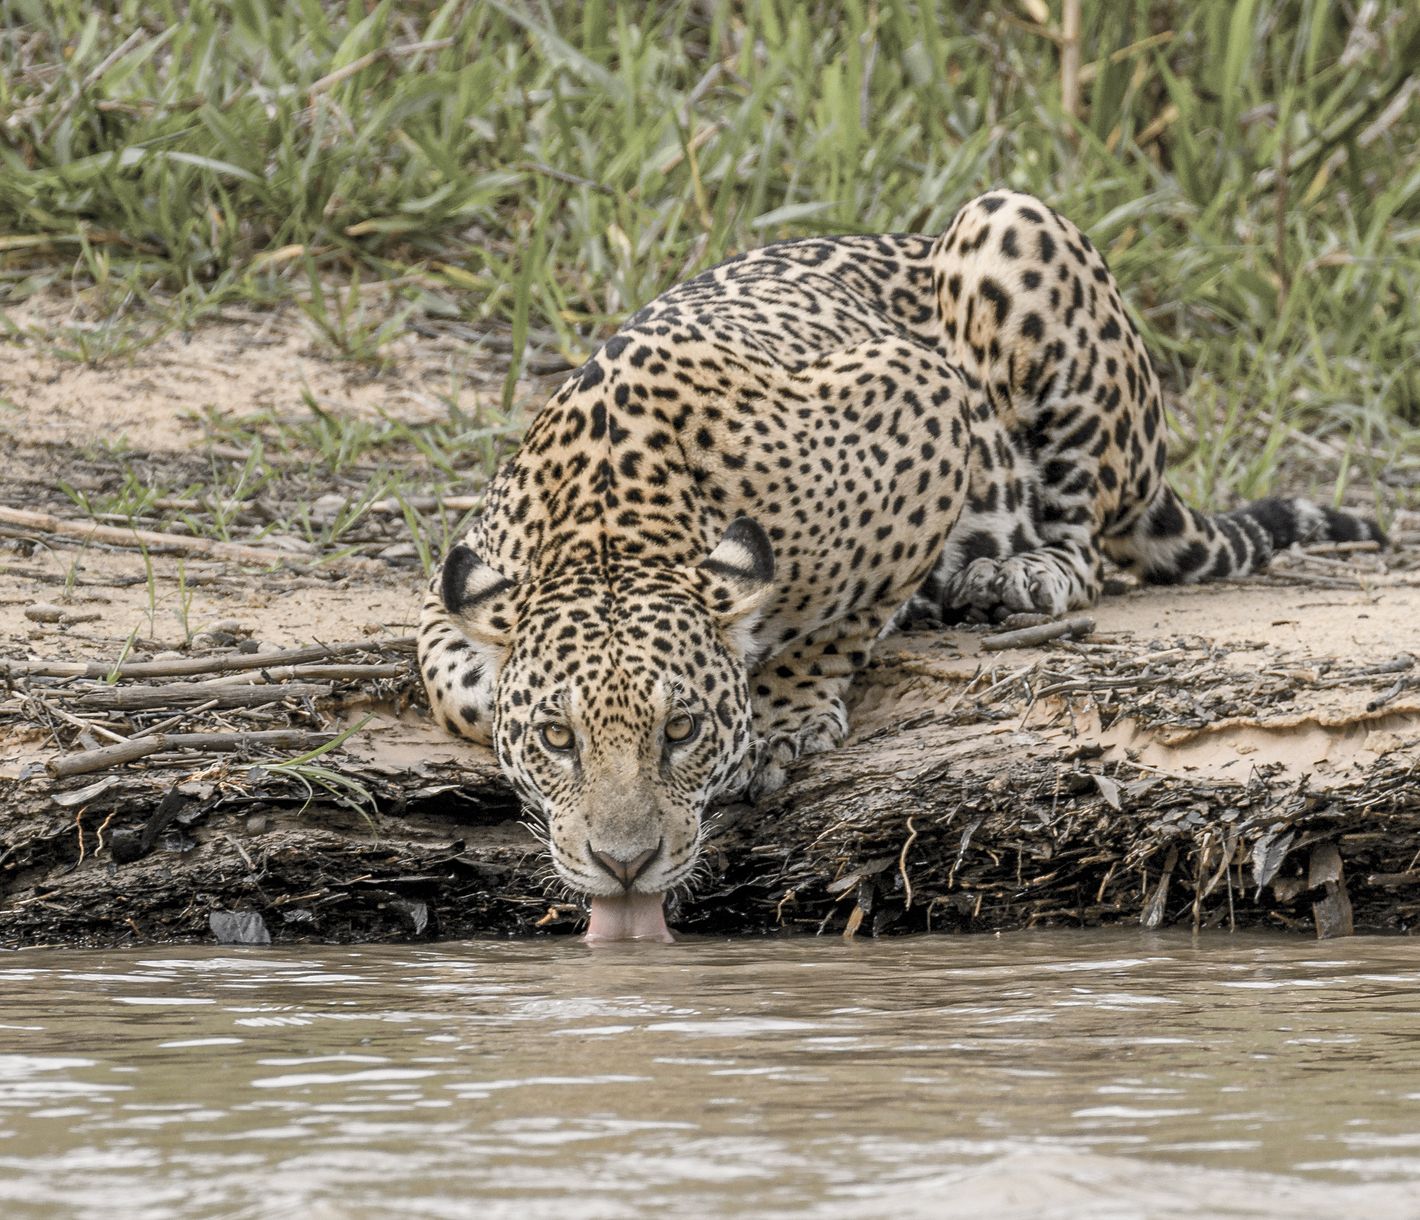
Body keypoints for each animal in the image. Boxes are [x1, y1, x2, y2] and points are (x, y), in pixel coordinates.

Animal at [416, 189, 1382, 921]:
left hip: (1012, 227)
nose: (624, 864)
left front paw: (784, 718)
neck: (613, 528)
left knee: (1082, 538)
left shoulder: (917, 400)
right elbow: (457, 686)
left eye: (681, 730)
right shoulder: (457, 581)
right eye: (558, 738)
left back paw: (1017, 573)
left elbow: (843, 615)